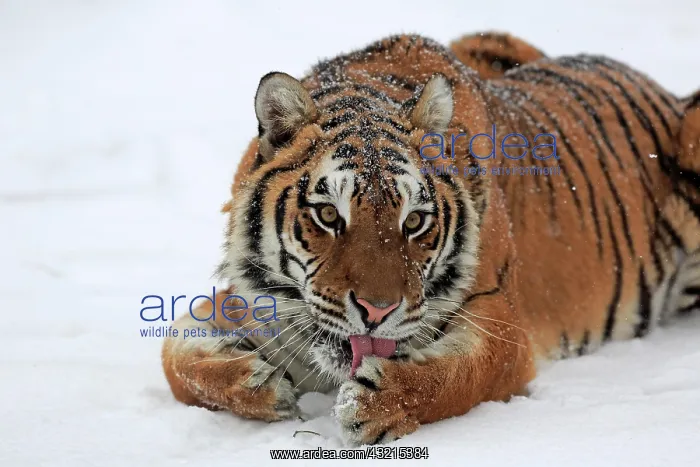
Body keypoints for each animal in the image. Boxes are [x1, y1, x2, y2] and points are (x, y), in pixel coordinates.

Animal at [161, 32, 700, 445]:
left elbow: (457, 376)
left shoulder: (503, 323)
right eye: (328, 215)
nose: (375, 311)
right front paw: (257, 380)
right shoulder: (255, 298)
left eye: (414, 222)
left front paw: (374, 403)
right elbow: (175, 356)